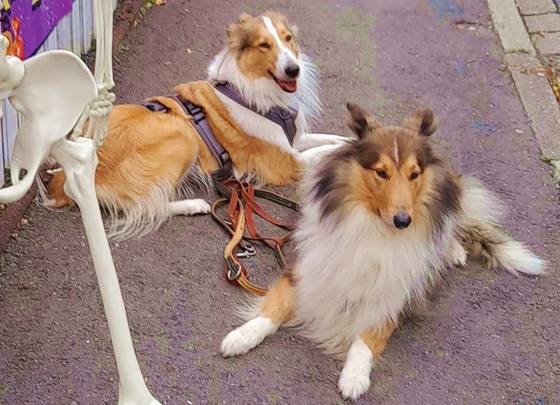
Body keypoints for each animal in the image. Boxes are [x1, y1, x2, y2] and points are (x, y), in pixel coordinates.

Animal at [46, 11, 346, 239]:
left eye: (288, 38)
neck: (253, 90)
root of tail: (66, 177)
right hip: (182, 134)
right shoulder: (286, 160)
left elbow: (334, 140)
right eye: (264, 45)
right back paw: (193, 205)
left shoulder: (295, 140)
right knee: (145, 204)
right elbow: (329, 153)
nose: (294, 70)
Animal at [220, 103, 544, 401]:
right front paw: (242, 336)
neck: (372, 226)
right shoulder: (308, 265)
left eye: (414, 174)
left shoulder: (396, 290)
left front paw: (354, 375)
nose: (403, 221)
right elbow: (276, 305)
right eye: (381, 172)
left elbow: (370, 332)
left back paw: (452, 250)